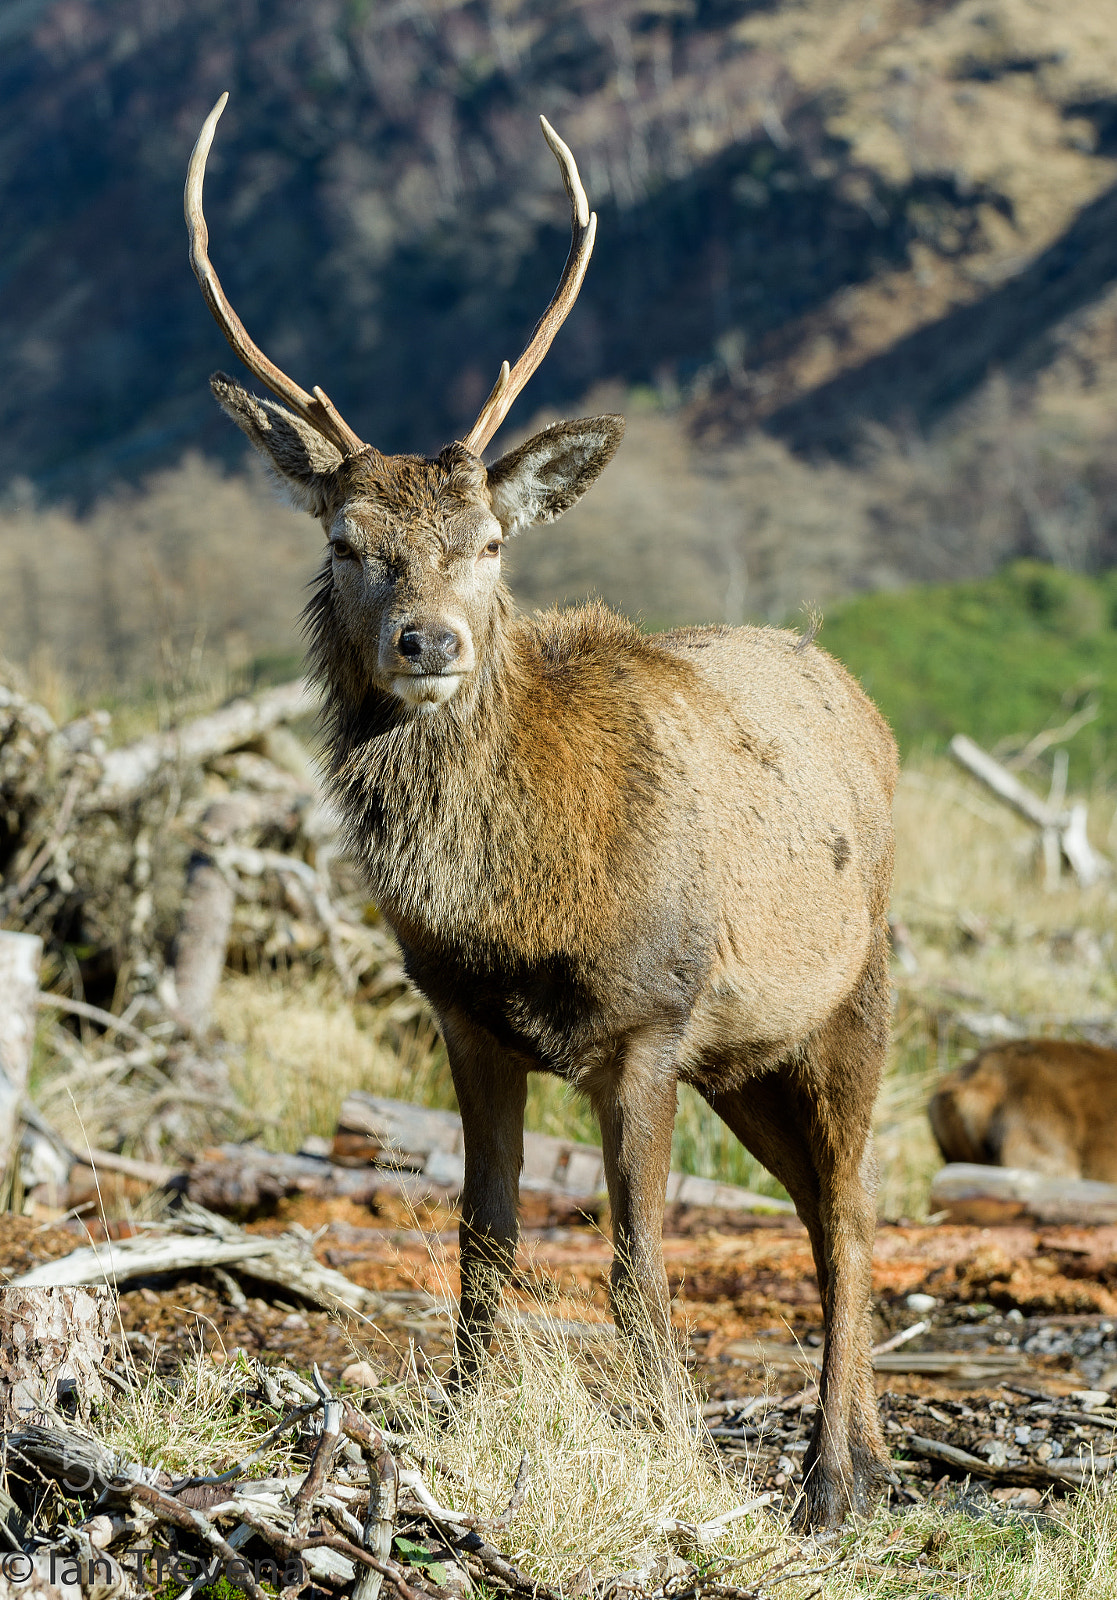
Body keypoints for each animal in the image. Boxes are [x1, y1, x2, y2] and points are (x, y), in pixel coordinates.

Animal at [185, 94, 898, 1529]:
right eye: (345, 539)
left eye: (491, 543)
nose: (427, 640)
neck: (522, 907)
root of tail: (858, 699)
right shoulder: (464, 1019)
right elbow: (484, 1234)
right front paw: (461, 1427)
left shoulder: (648, 1020)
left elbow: (633, 1255)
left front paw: (675, 1451)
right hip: (749, 1057)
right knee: (821, 1208)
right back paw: (871, 1458)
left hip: (857, 990)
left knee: (853, 1216)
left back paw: (831, 1476)